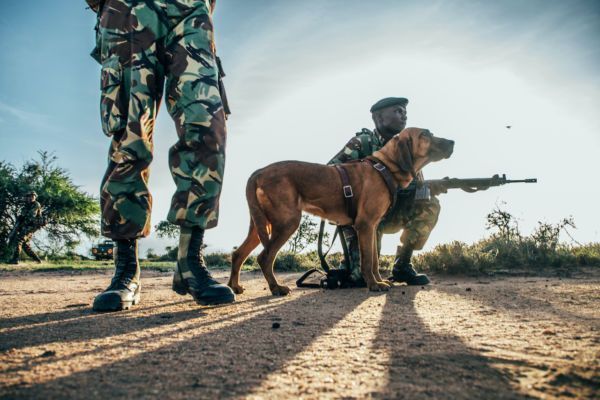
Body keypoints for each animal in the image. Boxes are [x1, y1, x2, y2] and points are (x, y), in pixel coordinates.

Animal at [227, 126, 452, 296]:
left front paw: (379, 281)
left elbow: (375, 260)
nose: (452, 142)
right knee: (264, 257)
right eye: (425, 134)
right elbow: (367, 261)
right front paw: (373, 284)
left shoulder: (373, 228)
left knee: (238, 253)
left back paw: (234, 286)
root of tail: (258, 173)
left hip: (260, 225)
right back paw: (276, 288)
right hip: (286, 222)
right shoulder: (365, 225)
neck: (385, 167)